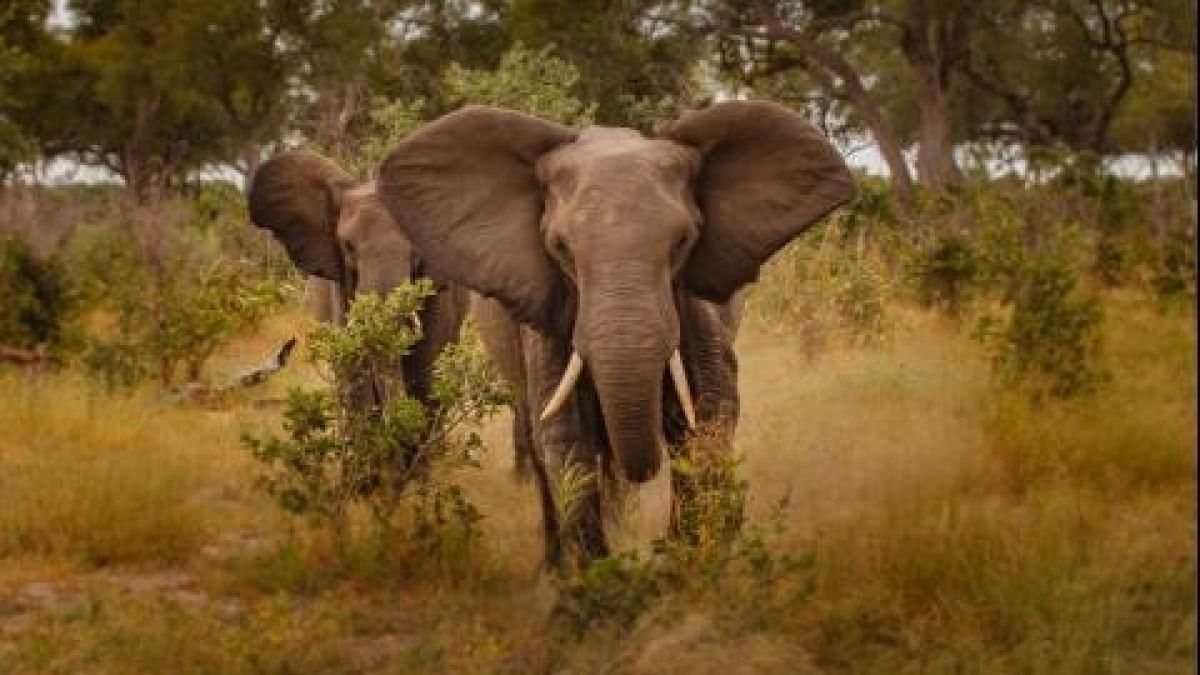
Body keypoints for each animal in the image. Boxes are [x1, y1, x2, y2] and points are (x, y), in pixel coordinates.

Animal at [373, 100, 856, 565]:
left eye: (683, 243)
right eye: (560, 248)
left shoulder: (694, 310)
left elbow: (708, 419)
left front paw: (682, 573)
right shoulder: (549, 318)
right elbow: (566, 440)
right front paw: (600, 580)